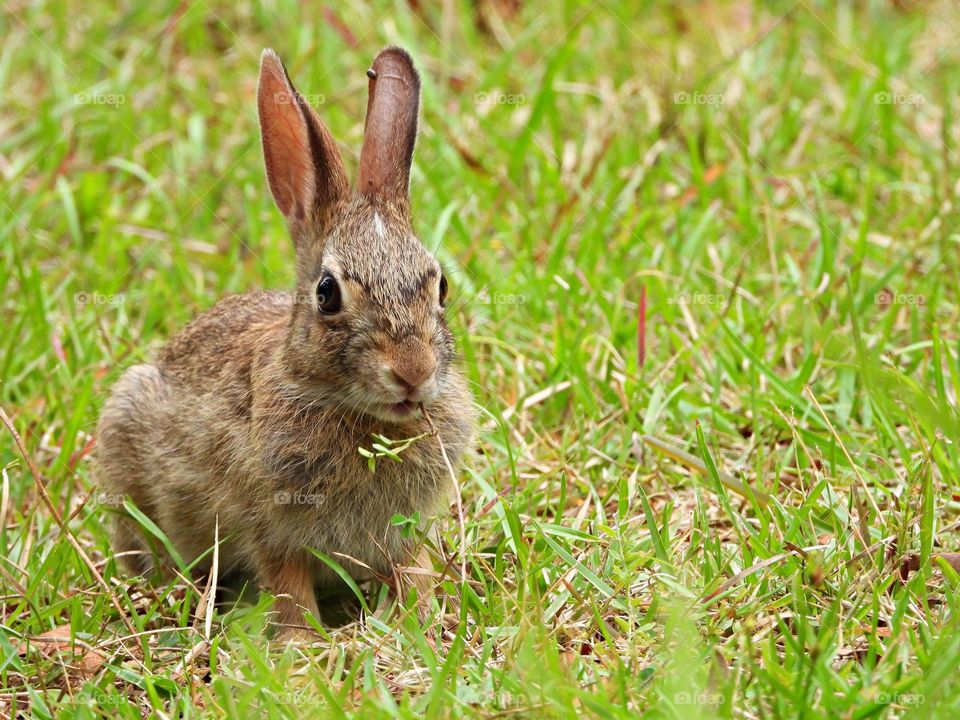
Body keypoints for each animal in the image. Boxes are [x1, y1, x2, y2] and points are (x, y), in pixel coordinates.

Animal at [94, 46, 476, 640]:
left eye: (440, 286)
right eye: (327, 293)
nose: (413, 371)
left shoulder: (405, 528)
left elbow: (412, 569)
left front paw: (420, 622)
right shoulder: (270, 525)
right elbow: (288, 585)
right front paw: (304, 645)